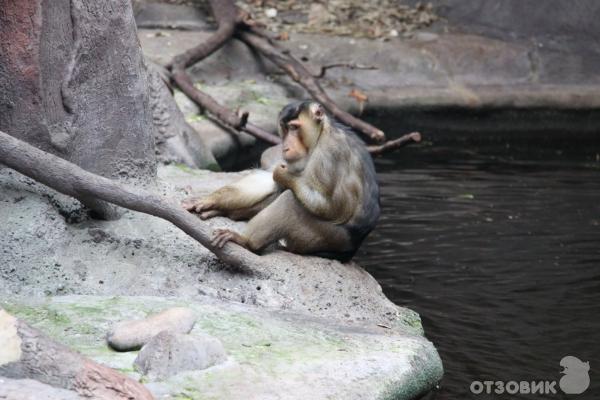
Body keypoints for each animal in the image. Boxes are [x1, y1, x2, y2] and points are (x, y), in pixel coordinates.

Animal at [183, 101, 380, 262]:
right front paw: (211, 201)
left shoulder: (330, 153)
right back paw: (230, 213)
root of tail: (350, 251)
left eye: (294, 128)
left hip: (326, 239)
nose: (286, 146)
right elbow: (267, 182)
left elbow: (333, 208)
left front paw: (282, 174)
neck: (322, 133)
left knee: (290, 201)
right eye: (285, 129)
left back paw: (247, 242)